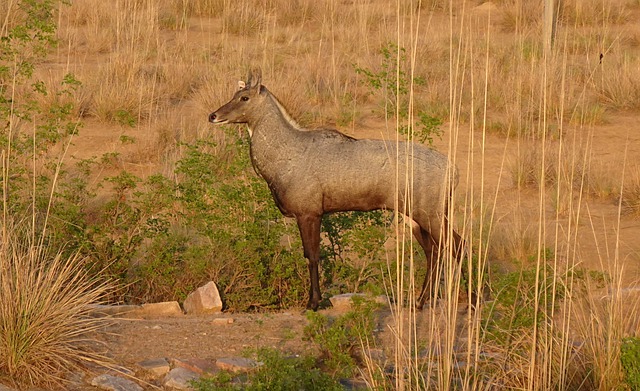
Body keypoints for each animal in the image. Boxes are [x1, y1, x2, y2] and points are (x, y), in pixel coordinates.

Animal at [210, 69, 464, 310]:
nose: (213, 115)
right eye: (234, 94)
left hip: (431, 214)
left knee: (456, 245)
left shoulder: (309, 213)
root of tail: (453, 171)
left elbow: (312, 256)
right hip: (415, 218)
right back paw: (419, 302)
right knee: (434, 252)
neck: (287, 153)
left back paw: (467, 299)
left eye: (244, 97)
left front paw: (313, 303)